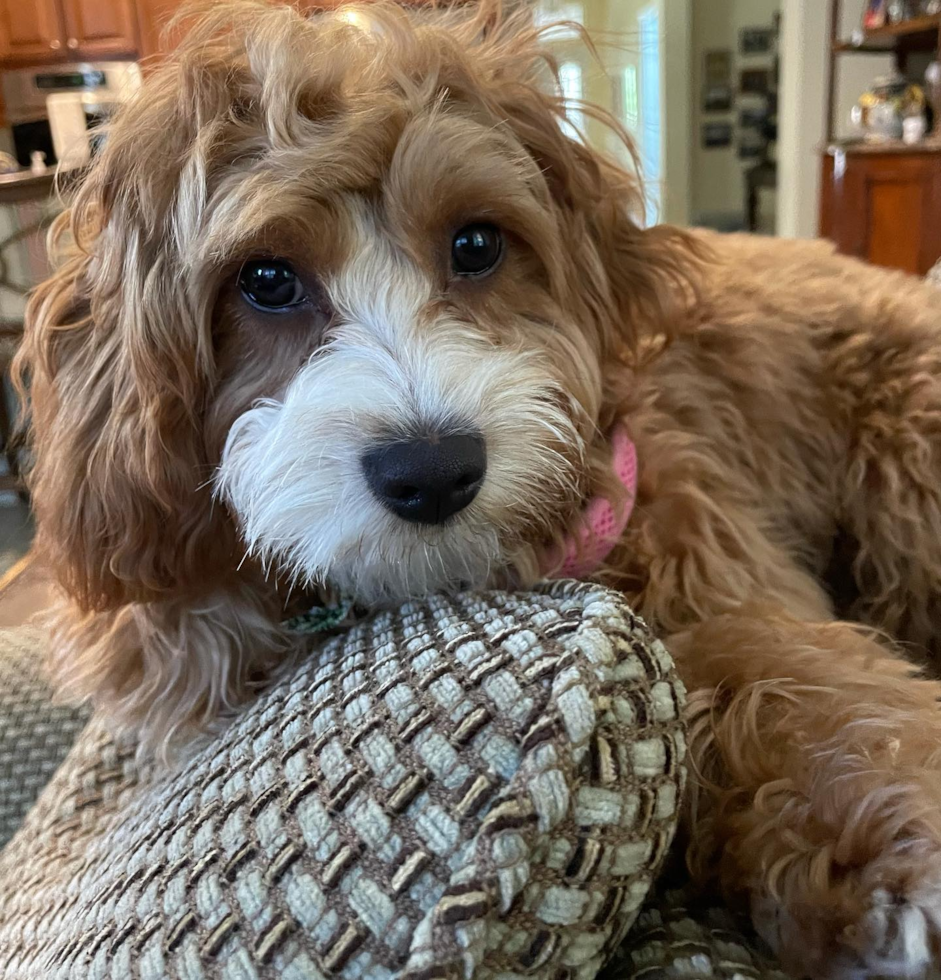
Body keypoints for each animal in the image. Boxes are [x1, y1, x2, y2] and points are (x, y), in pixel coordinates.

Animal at [16, 3, 941, 976]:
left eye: (475, 244)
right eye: (265, 279)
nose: (431, 470)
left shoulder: (693, 543)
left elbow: (781, 663)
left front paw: (891, 841)